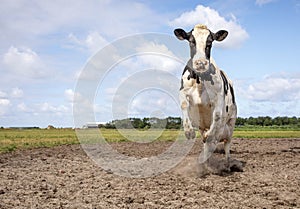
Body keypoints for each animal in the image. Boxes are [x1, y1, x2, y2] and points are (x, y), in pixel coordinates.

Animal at [173, 24, 237, 167]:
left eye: (210, 42)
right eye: (191, 41)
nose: (201, 63)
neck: (200, 80)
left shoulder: (218, 96)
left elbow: (217, 116)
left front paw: (210, 134)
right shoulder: (183, 90)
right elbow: (184, 104)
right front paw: (189, 131)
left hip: (230, 123)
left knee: (226, 143)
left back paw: (227, 163)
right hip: (203, 124)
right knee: (206, 143)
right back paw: (205, 163)